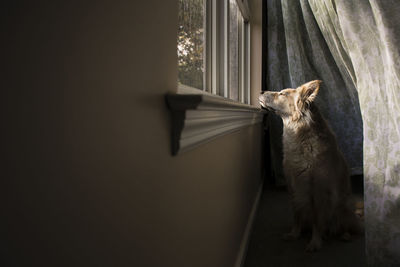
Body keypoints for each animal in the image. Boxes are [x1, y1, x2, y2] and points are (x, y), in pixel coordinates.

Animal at [260, 80, 360, 252]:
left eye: (282, 94)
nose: (260, 92)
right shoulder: (293, 186)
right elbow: (297, 214)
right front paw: (294, 234)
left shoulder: (319, 190)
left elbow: (317, 220)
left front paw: (315, 242)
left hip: (344, 204)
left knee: (347, 225)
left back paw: (344, 235)